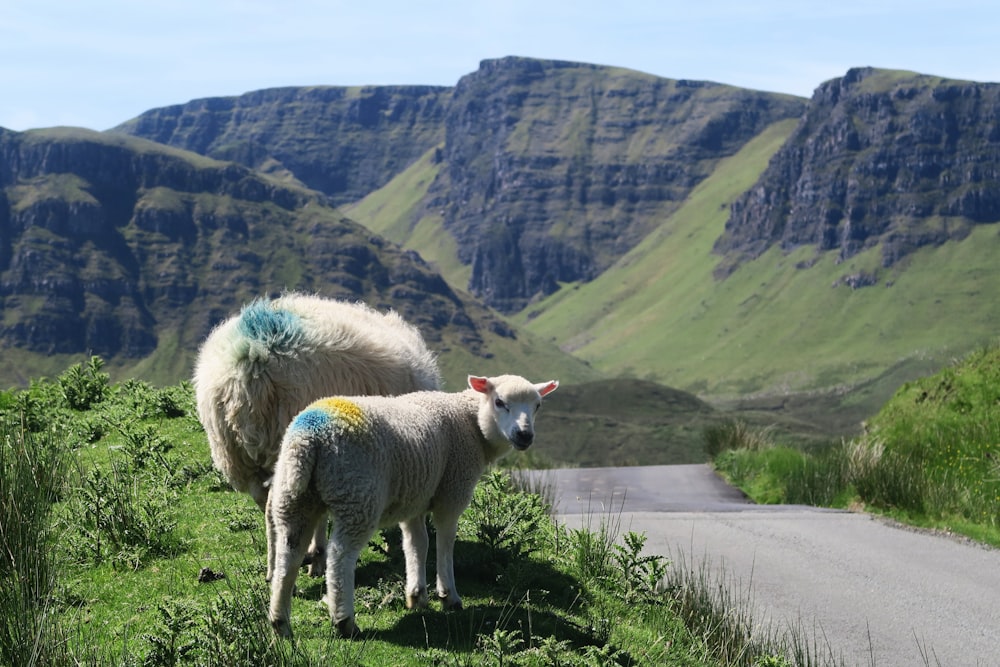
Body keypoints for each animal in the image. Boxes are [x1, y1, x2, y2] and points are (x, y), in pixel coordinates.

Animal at [266, 374, 560, 640]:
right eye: (500, 402)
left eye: (537, 406)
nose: (524, 435)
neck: (471, 423)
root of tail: (310, 437)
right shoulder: (451, 493)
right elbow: (445, 543)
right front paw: (448, 596)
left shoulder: (415, 498)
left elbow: (417, 544)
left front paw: (417, 595)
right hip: (357, 495)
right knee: (341, 558)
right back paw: (345, 621)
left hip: (294, 497)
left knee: (288, 556)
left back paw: (280, 622)